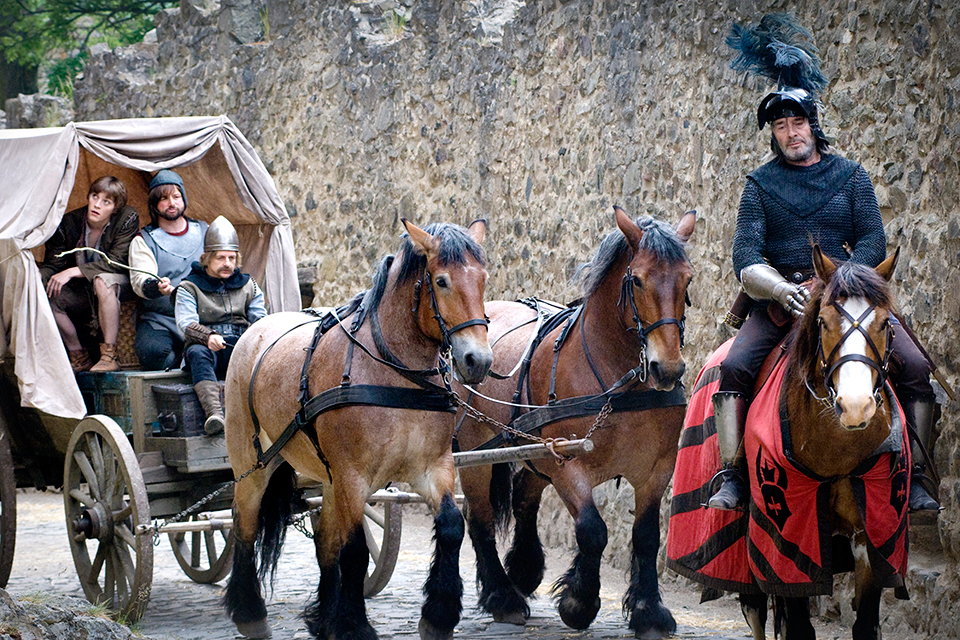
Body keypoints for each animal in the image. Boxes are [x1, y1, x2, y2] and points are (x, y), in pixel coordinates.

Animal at [222, 220, 492, 640]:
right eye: (442, 281)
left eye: (483, 278)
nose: (477, 360)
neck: (395, 372)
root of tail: (255, 330)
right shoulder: (353, 477)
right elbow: (355, 550)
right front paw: (354, 626)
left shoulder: (434, 466)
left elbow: (450, 525)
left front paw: (437, 615)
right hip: (252, 465)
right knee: (244, 527)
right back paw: (250, 612)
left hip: (326, 479)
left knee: (323, 542)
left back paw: (322, 617)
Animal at [454, 208, 692, 636]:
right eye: (636, 279)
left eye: (687, 279)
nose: (666, 368)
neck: (619, 381)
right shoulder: (567, 464)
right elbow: (593, 531)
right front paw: (579, 602)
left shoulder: (657, 468)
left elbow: (647, 537)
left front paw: (649, 609)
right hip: (475, 451)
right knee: (479, 520)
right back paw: (503, 596)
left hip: (533, 452)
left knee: (524, 495)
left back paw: (524, 570)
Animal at [668, 248, 908, 640]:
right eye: (823, 322)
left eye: (886, 324)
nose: (855, 406)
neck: (836, 446)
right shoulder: (787, 536)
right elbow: (796, 624)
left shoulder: (874, 531)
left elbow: (865, 624)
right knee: (754, 609)